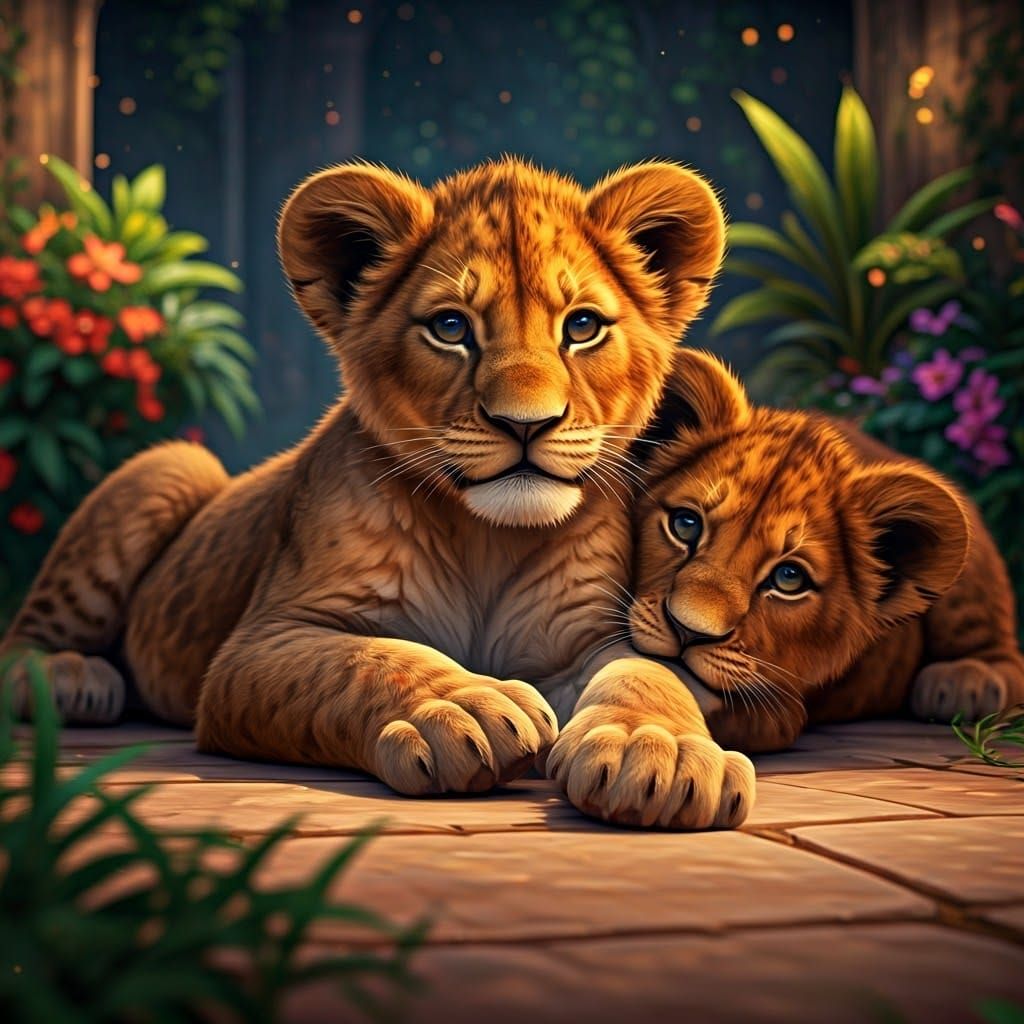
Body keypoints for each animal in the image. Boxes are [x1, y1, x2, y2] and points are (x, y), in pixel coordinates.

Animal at [3, 159, 754, 827]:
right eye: (451, 328)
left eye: (582, 326)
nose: (525, 423)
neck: (489, 539)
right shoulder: (261, 644)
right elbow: (365, 660)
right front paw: (461, 708)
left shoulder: (587, 636)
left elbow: (648, 673)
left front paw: (659, 754)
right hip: (169, 467)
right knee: (26, 639)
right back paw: (73, 679)